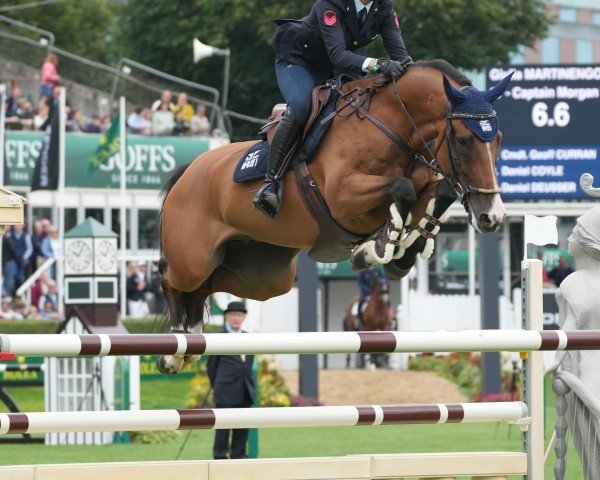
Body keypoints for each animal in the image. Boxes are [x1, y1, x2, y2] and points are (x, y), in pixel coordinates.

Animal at [156, 60, 510, 374]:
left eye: (498, 139)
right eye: (463, 140)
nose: (492, 216)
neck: (392, 126)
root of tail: (189, 172)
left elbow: (439, 194)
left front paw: (399, 253)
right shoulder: (344, 198)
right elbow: (402, 188)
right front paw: (379, 247)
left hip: (263, 275)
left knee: (207, 285)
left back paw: (191, 341)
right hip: (193, 258)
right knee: (170, 276)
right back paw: (174, 349)